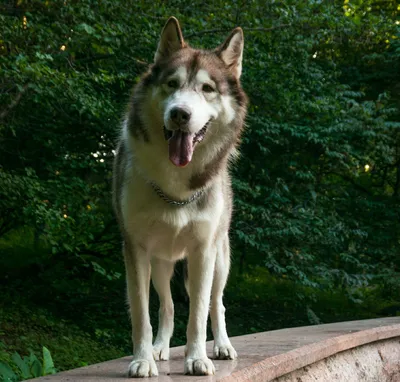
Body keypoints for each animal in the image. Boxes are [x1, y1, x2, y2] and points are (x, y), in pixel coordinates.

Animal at [112, 16, 248, 378]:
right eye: (172, 84)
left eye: (207, 89)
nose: (180, 114)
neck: (175, 191)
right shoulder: (136, 251)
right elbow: (142, 315)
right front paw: (143, 359)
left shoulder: (203, 252)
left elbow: (199, 314)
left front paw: (197, 358)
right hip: (161, 264)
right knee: (168, 305)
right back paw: (160, 348)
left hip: (220, 260)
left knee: (218, 303)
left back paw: (222, 346)